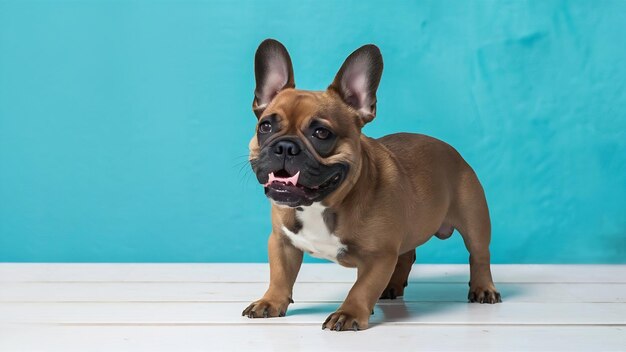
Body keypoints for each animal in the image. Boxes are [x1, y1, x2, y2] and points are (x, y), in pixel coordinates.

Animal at [241, 40, 500, 332]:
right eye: (265, 126)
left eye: (321, 133)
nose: (285, 146)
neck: (321, 205)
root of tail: (454, 152)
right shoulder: (281, 242)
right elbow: (280, 275)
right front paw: (270, 302)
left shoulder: (379, 255)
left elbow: (361, 288)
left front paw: (348, 313)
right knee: (406, 256)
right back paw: (392, 288)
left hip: (474, 220)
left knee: (479, 254)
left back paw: (483, 289)